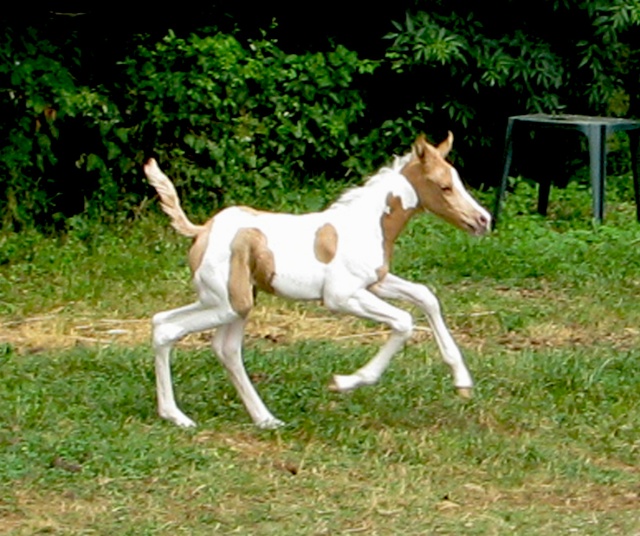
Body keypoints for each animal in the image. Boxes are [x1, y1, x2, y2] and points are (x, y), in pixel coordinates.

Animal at [145, 135, 492, 432]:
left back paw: (265, 419)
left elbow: (426, 296)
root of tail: (202, 231)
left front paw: (462, 380)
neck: (364, 226)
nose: (483, 220)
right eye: (445, 186)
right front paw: (346, 382)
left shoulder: (375, 283)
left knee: (213, 343)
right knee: (168, 329)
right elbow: (404, 321)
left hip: (232, 303)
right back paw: (177, 416)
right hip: (227, 303)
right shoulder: (341, 296)